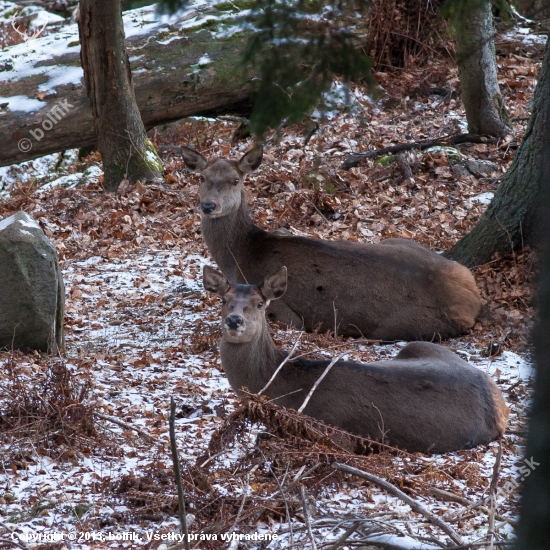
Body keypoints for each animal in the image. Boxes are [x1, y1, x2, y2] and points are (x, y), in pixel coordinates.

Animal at [182, 146, 484, 344]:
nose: (208, 205)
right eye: (201, 177)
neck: (242, 257)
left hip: (402, 327)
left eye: (235, 180)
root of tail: (472, 298)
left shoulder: (285, 313)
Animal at [204, 266, 512, 454]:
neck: (285, 390)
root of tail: (498, 400)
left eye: (259, 303)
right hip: (419, 346)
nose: (234, 320)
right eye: (223, 300)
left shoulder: (334, 434)